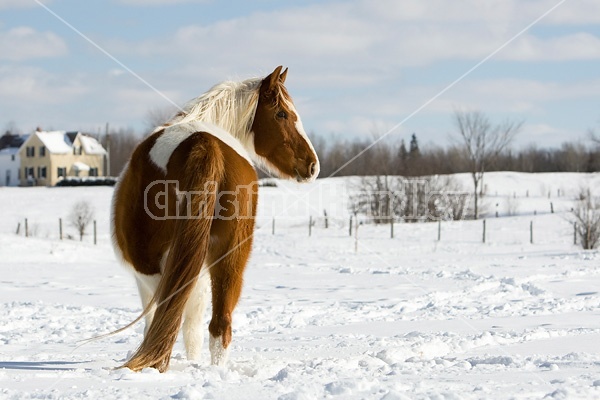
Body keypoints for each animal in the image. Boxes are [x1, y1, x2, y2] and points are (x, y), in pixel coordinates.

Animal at [110, 66, 322, 372]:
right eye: (282, 114)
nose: (312, 165)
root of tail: (202, 144)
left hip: (156, 268)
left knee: (171, 322)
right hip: (231, 253)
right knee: (219, 325)